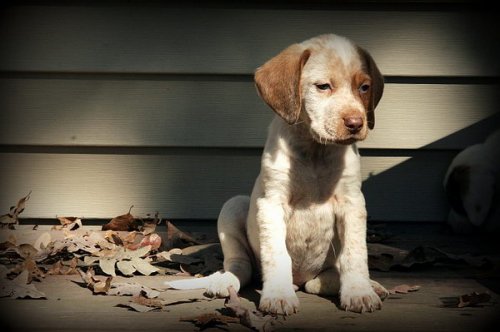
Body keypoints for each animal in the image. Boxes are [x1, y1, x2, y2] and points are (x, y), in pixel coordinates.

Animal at [170, 34, 388, 316]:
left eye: (364, 87)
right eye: (323, 86)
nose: (356, 124)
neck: (315, 150)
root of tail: (301, 279)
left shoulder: (352, 203)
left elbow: (355, 254)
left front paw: (360, 292)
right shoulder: (271, 203)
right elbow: (276, 254)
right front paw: (278, 295)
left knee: (321, 280)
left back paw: (362, 284)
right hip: (233, 208)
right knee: (241, 266)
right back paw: (225, 281)